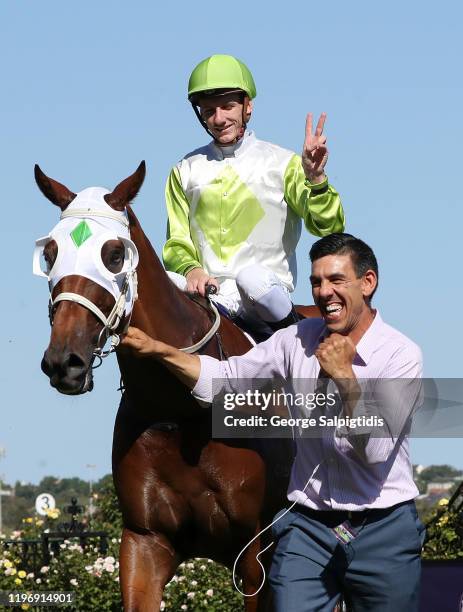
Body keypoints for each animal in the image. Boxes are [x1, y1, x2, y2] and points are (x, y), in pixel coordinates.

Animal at [33, 163, 322, 612]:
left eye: (114, 255)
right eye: (50, 253)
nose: (64, 361)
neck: (183, 412)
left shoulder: (259, 550)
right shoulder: (145, 541)